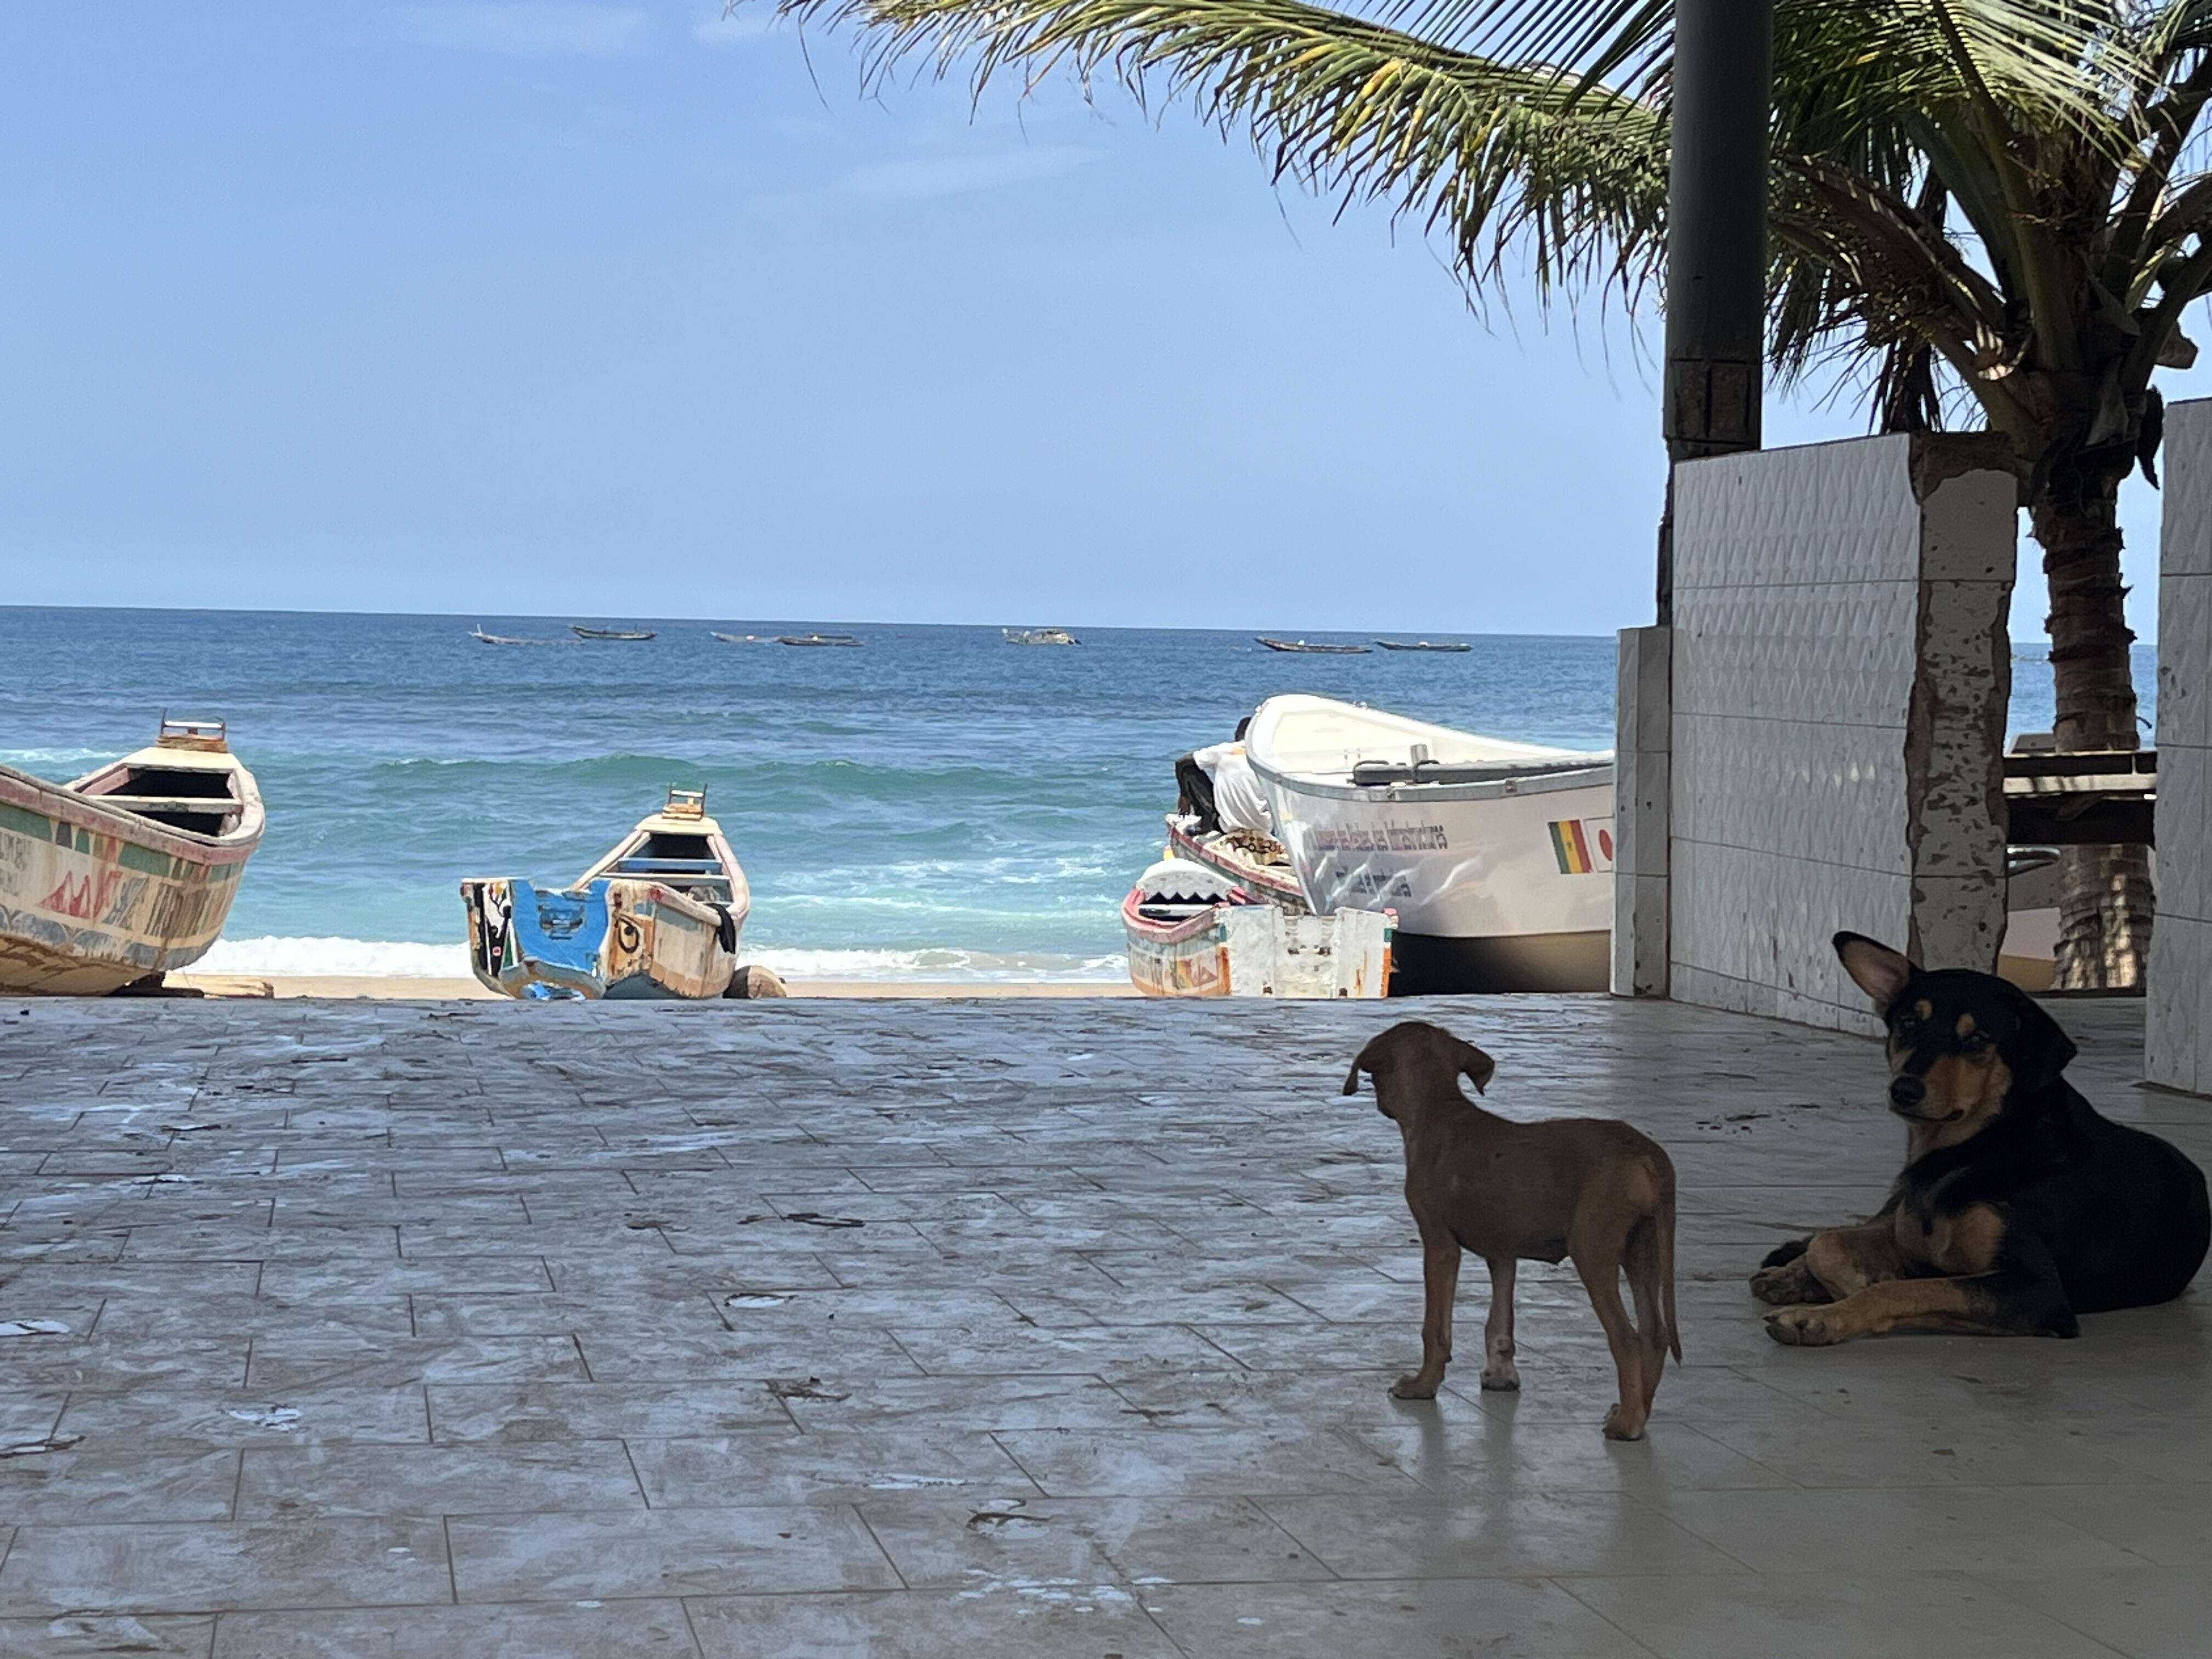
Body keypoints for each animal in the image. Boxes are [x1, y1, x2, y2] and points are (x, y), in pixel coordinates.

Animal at [1345, 1021, 1680, 1440]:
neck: (1440, 1109)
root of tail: (1645, 1153)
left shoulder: (1439, 1245)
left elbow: (1435, 1329)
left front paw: (1423, 1384)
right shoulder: (1503, 1253)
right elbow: (1499, 1322)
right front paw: (1500, 1376)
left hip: (1593, 1250)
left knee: (1628, 1339)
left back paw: (1629, 1423)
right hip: (1643, 1251)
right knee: (1655, 1334)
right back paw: (1637, 1408)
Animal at [1751, 932, 2212, 1345]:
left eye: (1976, 1040)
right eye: (1908, 1023)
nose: (1904, 1090)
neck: (1980, 1145)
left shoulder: (2035, 1291)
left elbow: (1900, 1287)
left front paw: (1824, 1314)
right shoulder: (1907, 1235)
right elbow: (1828, 1243)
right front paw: (1831, 1280)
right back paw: (1790, 1274)